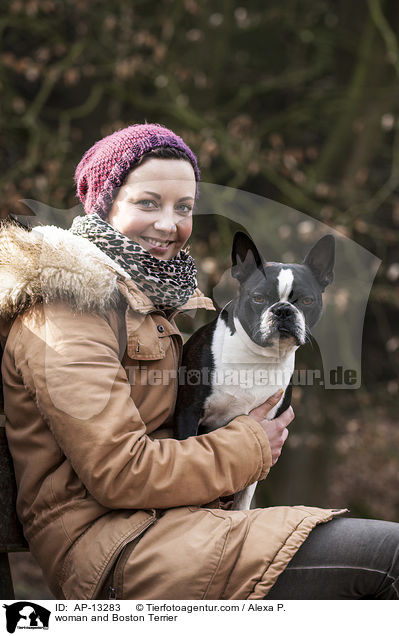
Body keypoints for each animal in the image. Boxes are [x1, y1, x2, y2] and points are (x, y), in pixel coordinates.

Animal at [175, 231, 334, 510]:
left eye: (306, 301)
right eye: (258, 298)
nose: (283, 310)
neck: (259, 358)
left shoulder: (263, 429)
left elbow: (245, 492)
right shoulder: (188, 412)